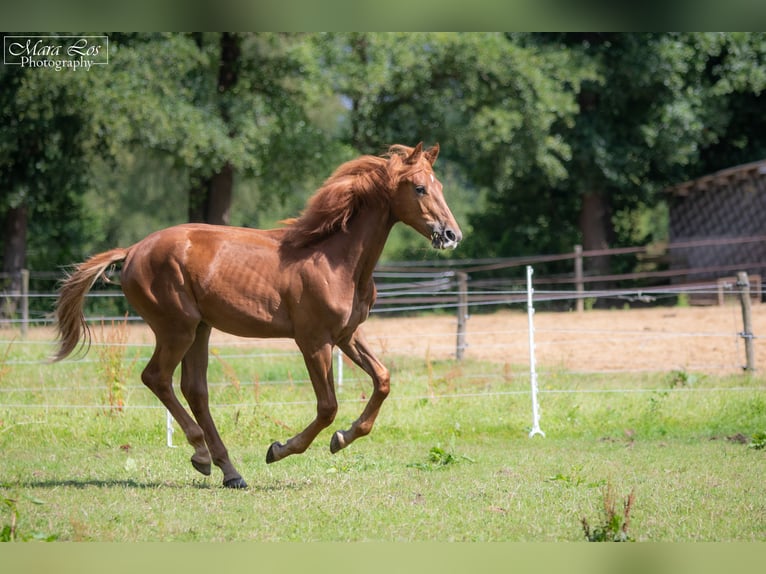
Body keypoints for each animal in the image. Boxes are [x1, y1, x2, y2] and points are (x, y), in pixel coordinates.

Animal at [55, 144, 462, 490]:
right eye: (420, 188)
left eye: (441, 186)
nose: (451, 235)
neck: (335, 259)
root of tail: (133, 250)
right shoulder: (313, 341)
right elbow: (327, 406)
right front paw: (280, 449)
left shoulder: (347, 335)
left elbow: (382, 379)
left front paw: (343, 438)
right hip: (176, 328)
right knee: (157, 377)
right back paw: (201, 454)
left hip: (200, 329)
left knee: (194, 389)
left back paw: (230, 472)